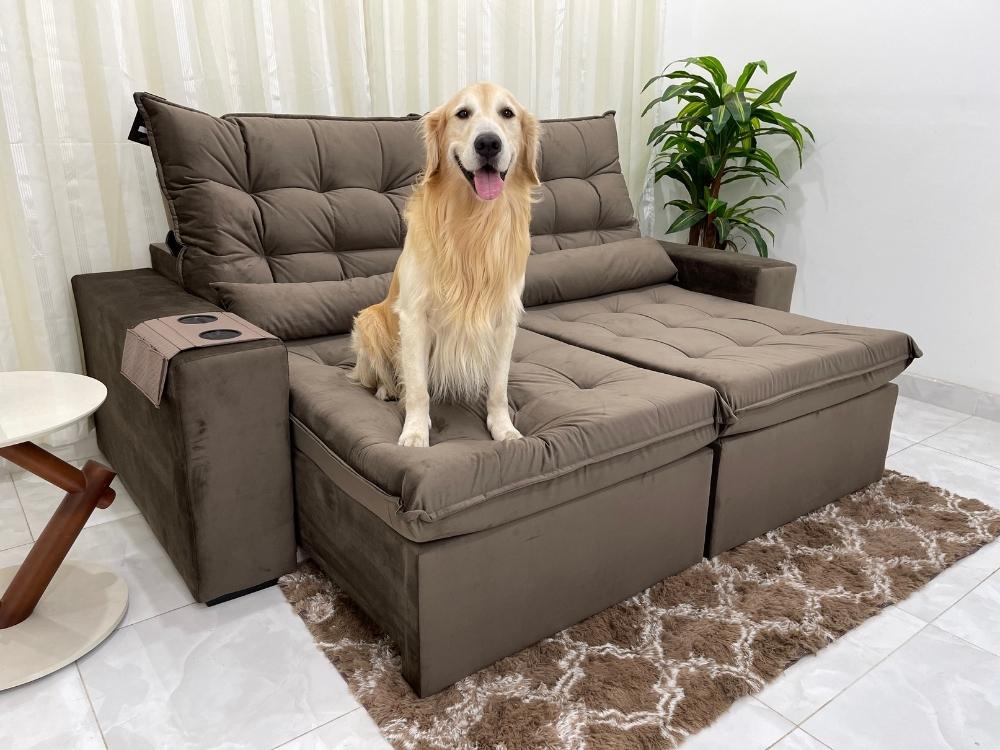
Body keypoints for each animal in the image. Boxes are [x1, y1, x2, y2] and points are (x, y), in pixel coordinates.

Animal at [350, 82, 540, 447]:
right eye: (462, 113)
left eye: (507, 113)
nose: (488, 143)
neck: (474, 222)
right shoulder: (414, 317)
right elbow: (418, 389)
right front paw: (414, 433)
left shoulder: (505, 319)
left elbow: (498, 386)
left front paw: (503, 427)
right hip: (370, 320)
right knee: (376, 376)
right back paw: (386, 390)